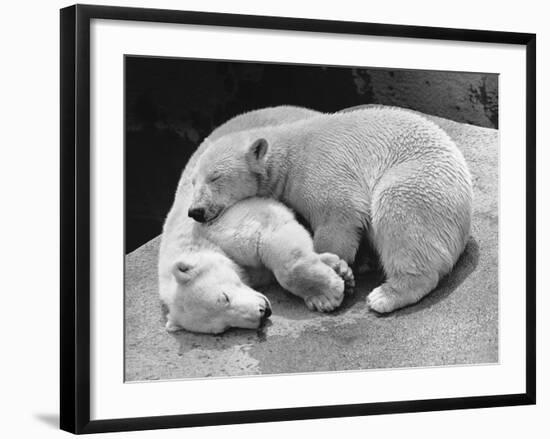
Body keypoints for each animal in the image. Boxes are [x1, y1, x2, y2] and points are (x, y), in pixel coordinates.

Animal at [158, 106, 354, 334]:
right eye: (223, 328)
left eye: (224, 297)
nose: (262, 312)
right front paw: (338, 269)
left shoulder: (226, 225)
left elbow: (272, 236)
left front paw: (327, 293)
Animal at [190, 105, 474, 314]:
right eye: (193, 181)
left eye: (214, 177)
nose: (195, 211)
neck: (286, 153)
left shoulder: (319, 169)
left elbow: (339, 213)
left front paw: (335, 272)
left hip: (419, 181)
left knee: (399, 216)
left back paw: (386, 294)